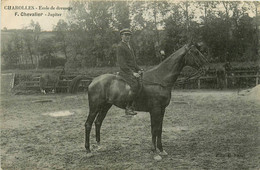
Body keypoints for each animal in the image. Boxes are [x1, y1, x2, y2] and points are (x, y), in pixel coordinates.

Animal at [69, 42, 209, 159]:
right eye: (196, 52)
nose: (206, 66)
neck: (160, 79)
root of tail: (93, 79)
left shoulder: (162, 110)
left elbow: (159, 129)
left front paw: (161, 150)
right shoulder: (155, 110)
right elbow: (154, 129)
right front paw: (154, 151)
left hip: (106, 106)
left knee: (98, 122)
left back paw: (99, 145)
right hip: (95, 107)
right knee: (88, 124)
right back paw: (88, 150)